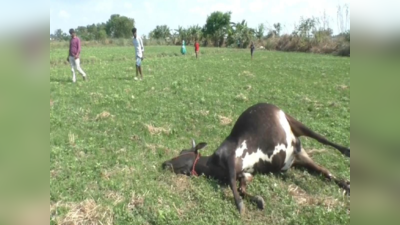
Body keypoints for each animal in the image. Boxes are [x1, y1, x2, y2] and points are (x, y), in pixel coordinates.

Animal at [162, 103, 350, 214]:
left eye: (183, 152)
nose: (164, 163)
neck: (214, 164)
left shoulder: (231, 157)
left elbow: (233, 184)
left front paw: (240, 205)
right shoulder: (246, 174)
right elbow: (242, 188)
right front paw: (258, 200)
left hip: (294, 122)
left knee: (323, 139)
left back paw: (347, 151)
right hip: (299, 158)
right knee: (324, 171)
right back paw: (346, 185)